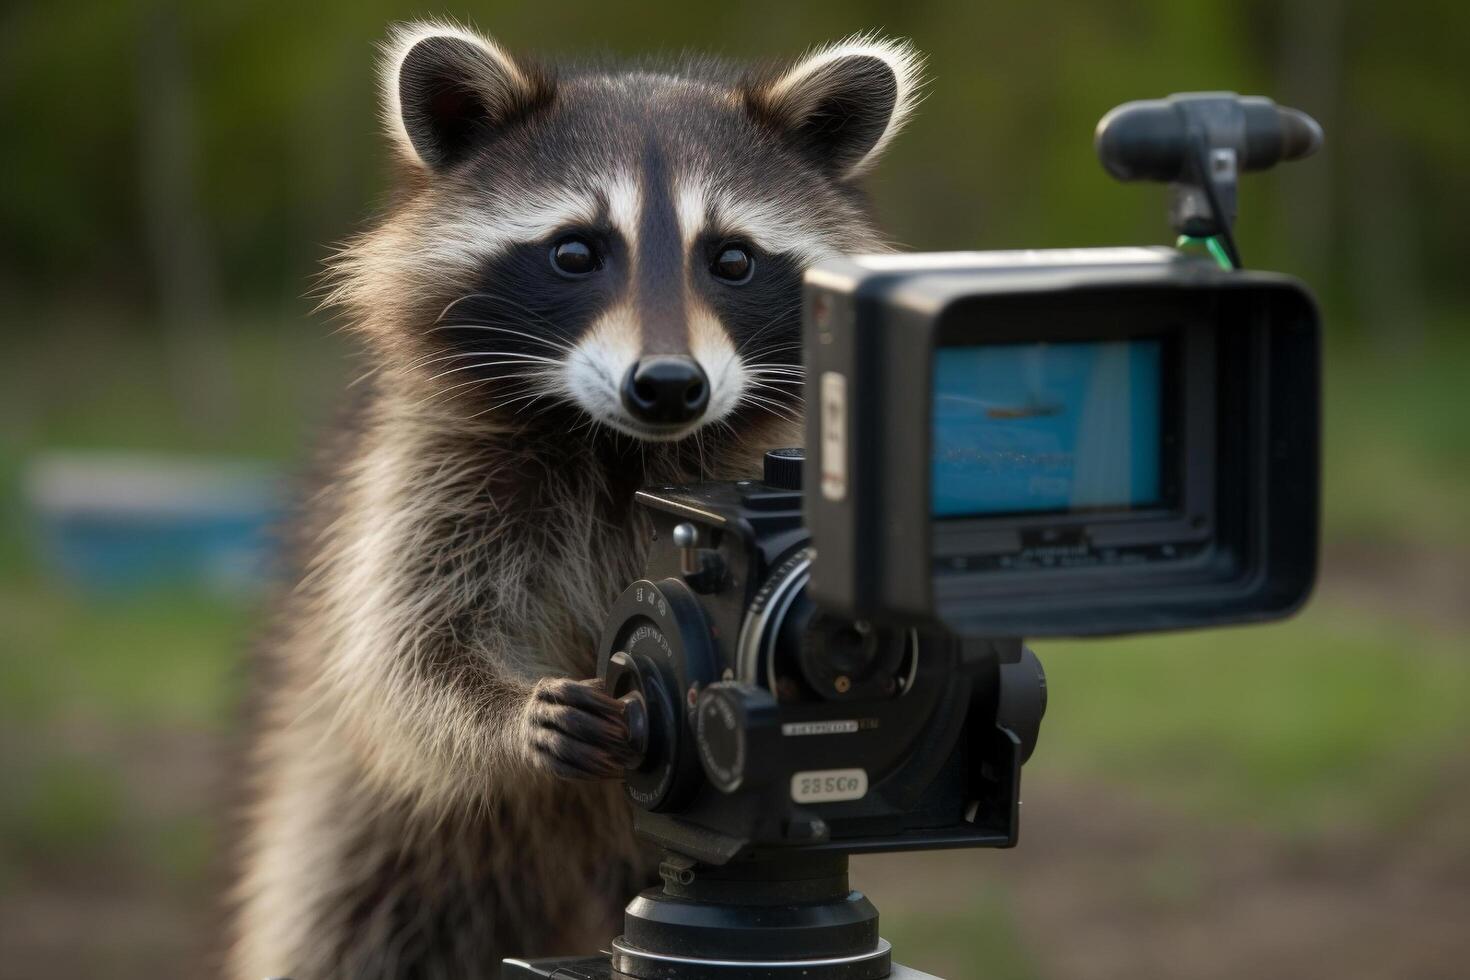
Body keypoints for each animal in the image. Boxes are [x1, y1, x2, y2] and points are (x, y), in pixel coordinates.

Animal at [226, 22, 917, 980]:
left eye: (733, 259)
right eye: (576, 252)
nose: (669, 385)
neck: (621, 446)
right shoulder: (426, 476)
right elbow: (408, 655)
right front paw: (509, 714)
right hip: (363, 830)